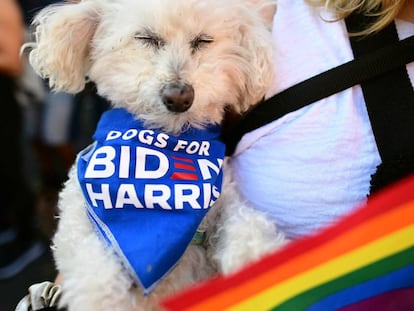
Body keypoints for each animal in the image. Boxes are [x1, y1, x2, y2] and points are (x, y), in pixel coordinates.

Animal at [25, 0, 286, 310]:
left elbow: (245, 224)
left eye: (203, 41)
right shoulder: (78, 225)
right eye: (146, 38)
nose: (179, 97)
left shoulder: (226, 202)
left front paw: (259, 261)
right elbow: (94, 270)